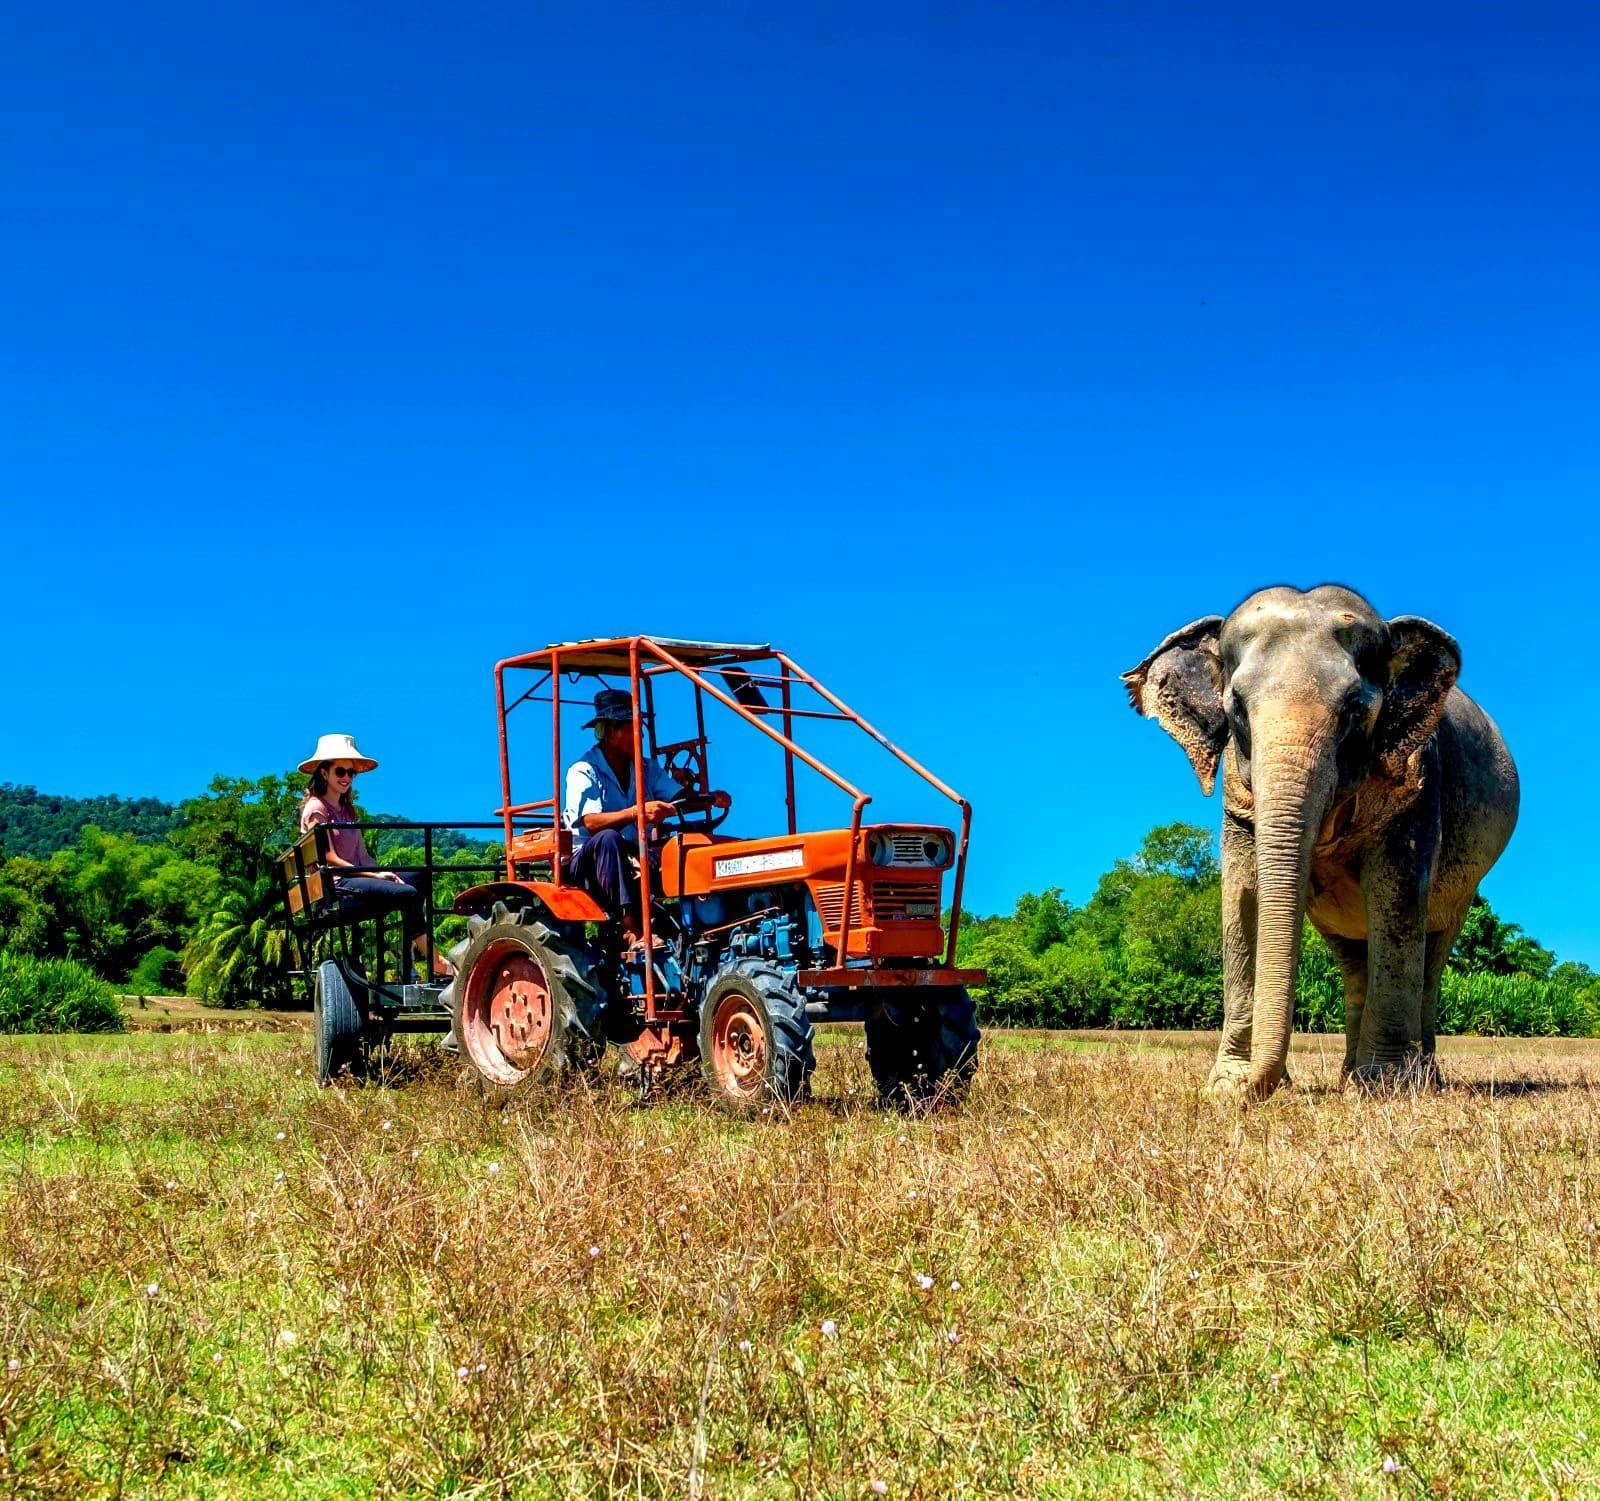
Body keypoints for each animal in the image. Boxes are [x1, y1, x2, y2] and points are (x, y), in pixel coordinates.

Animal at [1122, 584, 1519, 1099]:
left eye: (1354, 708)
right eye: (1236, 708)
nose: (1260, 1090)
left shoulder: (1418, 782)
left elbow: (1396, 898)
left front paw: (1385, 1089)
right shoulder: (1237, 802)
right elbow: (1243, 896)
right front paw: (1227, 1087)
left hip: (1465, 887)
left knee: (1432, 947)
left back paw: (1416, 1080)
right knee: (1353, 957)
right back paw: (1353, 1076)